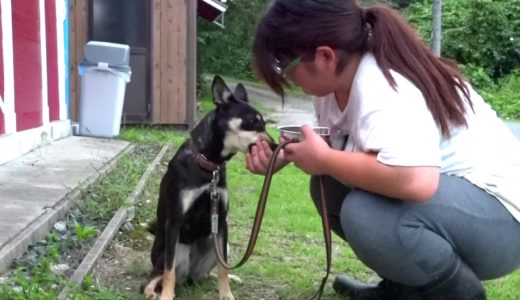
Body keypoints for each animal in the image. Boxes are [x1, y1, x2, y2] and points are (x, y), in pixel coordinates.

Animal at [142, 75, 276, 300]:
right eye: (252, 122)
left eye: (264, 123)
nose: (275, 146)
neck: (208, 164)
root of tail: (191, 276)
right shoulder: (174, 222)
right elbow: (169, 273)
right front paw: (166, 296)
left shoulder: (221, 222)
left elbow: (223, 268)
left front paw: (226, 293)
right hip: (173, 250)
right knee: (156, 274)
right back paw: (152, 291)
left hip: (222, 246)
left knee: (209, 273)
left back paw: (230, 278)